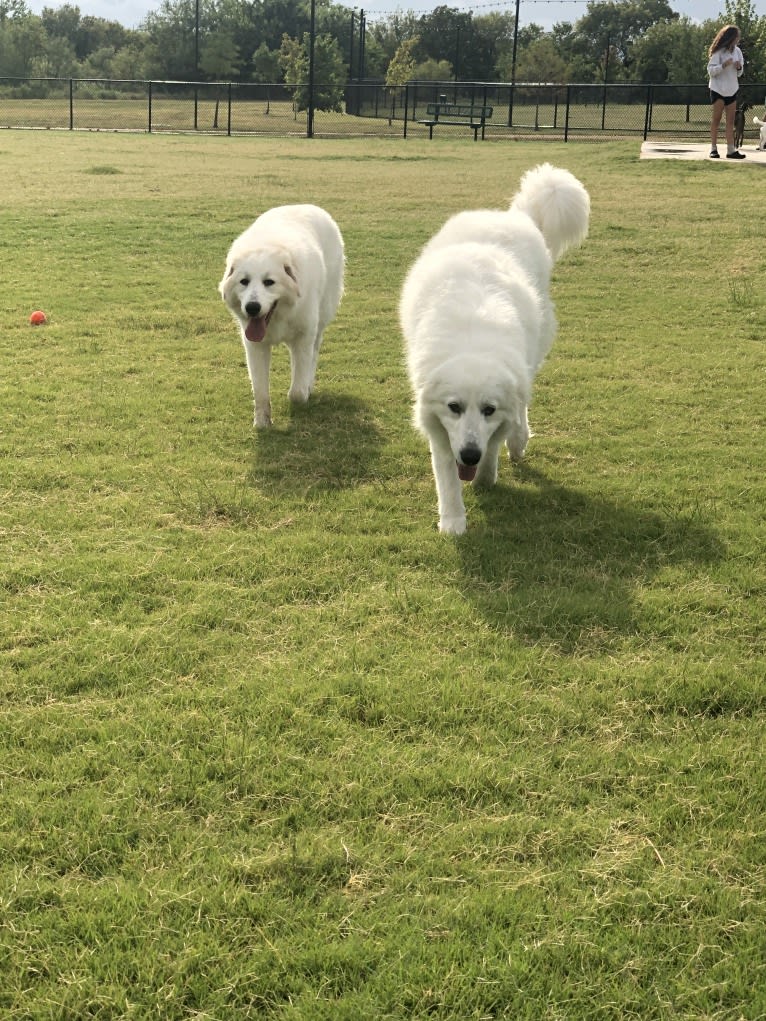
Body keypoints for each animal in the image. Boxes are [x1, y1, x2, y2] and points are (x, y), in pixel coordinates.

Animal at [218, 203, 345, 426]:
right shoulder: (255, 347)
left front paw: (302, 393)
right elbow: (260, 391)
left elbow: (297, 392)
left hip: (321, 319)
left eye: (269, 282)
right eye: (244, 281)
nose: (252, 307)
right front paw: (262, 422)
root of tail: (310, 205)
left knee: (314, 352)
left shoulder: (303, 338)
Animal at [398, 165, 592, 535]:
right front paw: (453, 520)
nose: (470, 455)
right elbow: (446, 473)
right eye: (454, 407)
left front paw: (486, 475)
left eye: (489, 409)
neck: (473, 342)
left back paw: (518, 440)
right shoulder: (439, 425)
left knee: (522, 408)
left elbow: (496, 440)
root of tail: (511, 215)